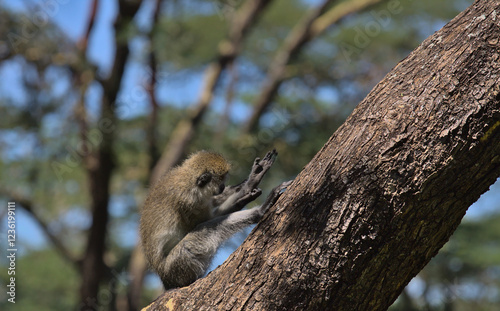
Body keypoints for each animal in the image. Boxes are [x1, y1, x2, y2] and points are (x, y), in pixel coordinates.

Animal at [141, 150, 290, 292]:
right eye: (220, 181)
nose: (223, 187)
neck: (189, 180)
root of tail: (165, 278)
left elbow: (213, 201)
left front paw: (250, 182)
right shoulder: (190, 201)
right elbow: (207, 220)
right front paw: (248, 188)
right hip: (178, 262)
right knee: (209, 227)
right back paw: (259, 211)